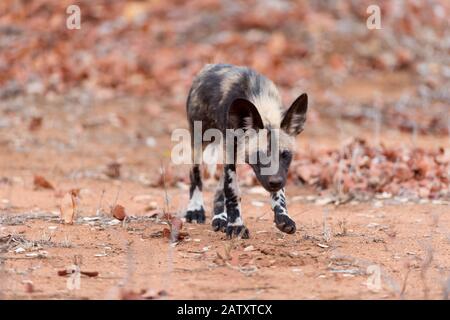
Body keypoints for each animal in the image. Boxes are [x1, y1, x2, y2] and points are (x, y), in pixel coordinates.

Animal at [185, 63, 308, 239]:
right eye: (259, 156)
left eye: (285, 155)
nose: (275, 182)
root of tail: (209, 66)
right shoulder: (230, 155)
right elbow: (232, 192)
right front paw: (236, 226)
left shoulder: (279, 172)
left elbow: (280, 194)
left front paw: (283, 216)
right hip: (200, 142)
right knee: (195, 175)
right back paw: (195, 210)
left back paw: (220, 218)